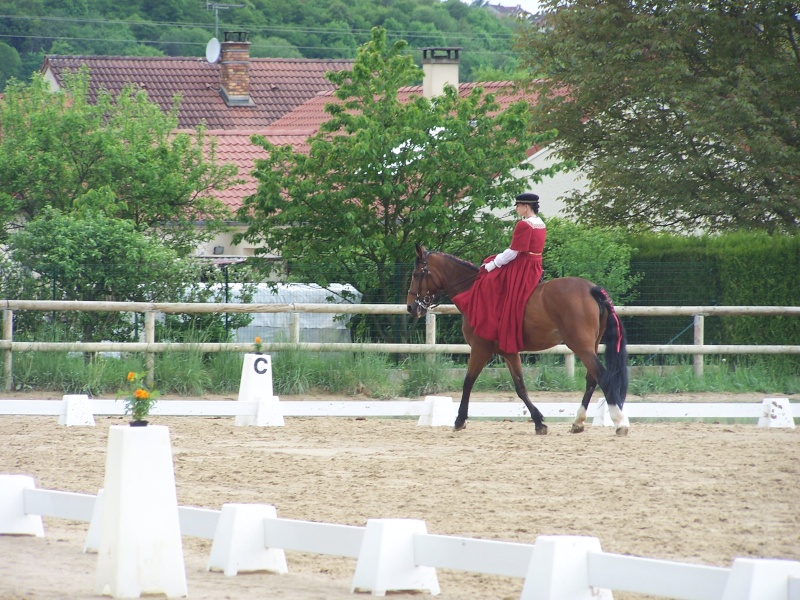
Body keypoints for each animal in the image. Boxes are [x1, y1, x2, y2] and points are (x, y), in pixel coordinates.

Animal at [410, 244, 628, 436]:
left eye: (416, 275)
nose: (411, 307)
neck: (473, 291)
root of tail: (592, 289)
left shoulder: (481, 348)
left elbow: (468, 381)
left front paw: (459, 420)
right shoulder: (509, 352)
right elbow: (520, 387)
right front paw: (539, 422)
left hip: (581, 346)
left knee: (603, 377)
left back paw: (619, 422)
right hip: (591, 345)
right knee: (592, 379)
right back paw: (578, 422)